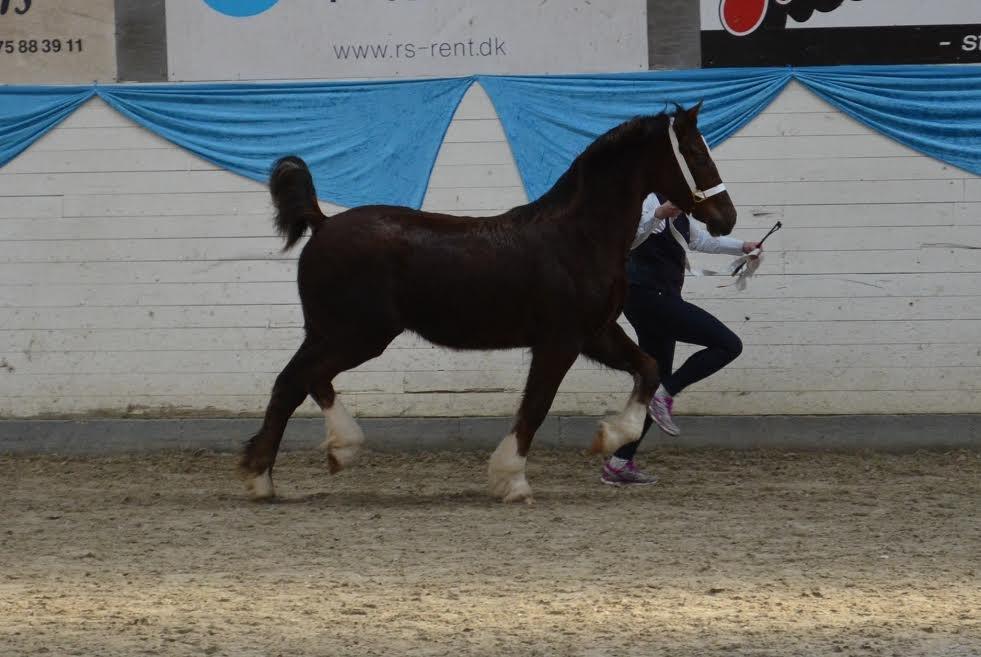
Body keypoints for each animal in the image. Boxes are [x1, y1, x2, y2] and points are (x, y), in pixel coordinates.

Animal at [239, 101, 736, 502]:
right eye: (696, 153)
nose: (726, 218)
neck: (577, 238)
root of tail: (322, 224)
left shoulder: (595, 334)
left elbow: (648, 369)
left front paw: (608, 436)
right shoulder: (560, 341)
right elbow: (535, 406)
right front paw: (511, 480)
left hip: (335, 333)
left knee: (302, 381)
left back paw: (311, 461)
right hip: (356, 335)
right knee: (295, 381)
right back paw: (276, 473)